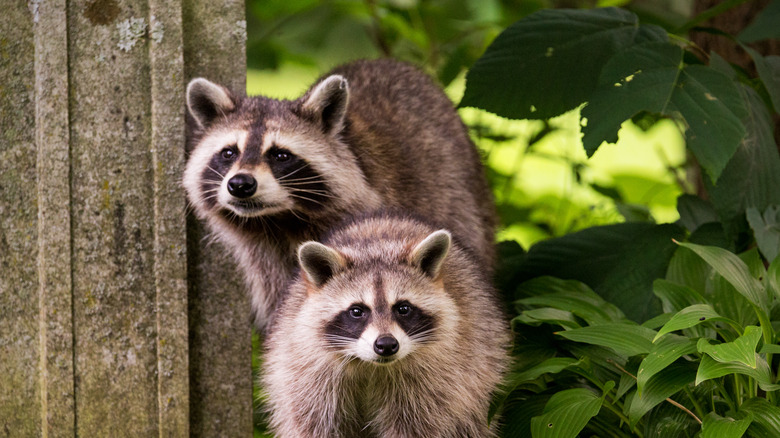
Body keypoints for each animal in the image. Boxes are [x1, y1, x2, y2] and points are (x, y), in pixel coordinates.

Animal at [262, 211, 512, 434]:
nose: (386, 345)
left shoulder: (436, 380)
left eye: (403, 308)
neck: (370, 365)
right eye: (357, 311)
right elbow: (314, 423)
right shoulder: (307, 375)